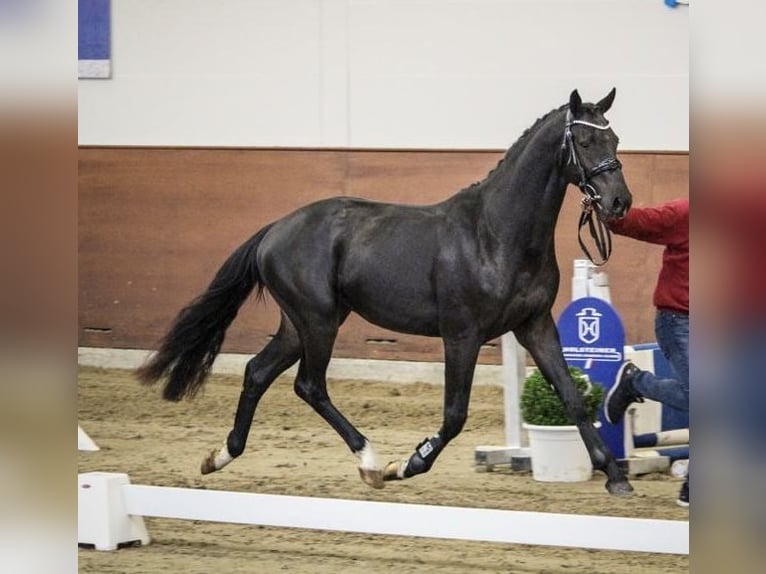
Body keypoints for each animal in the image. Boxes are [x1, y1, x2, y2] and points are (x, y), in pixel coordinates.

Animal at [136, 89, 636, 496]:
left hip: (302, 324)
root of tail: (275, 230)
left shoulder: (534, 325)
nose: (619, 203)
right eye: (585, 142)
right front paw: (408, 464)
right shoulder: (463, 335)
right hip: (317, 322)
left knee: (258, 372)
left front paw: (615, 476)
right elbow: (455, 414)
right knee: (309, 385)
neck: (496, 234)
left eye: (615, 140)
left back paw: (221, 456)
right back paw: (370, 462)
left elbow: (571, 396)